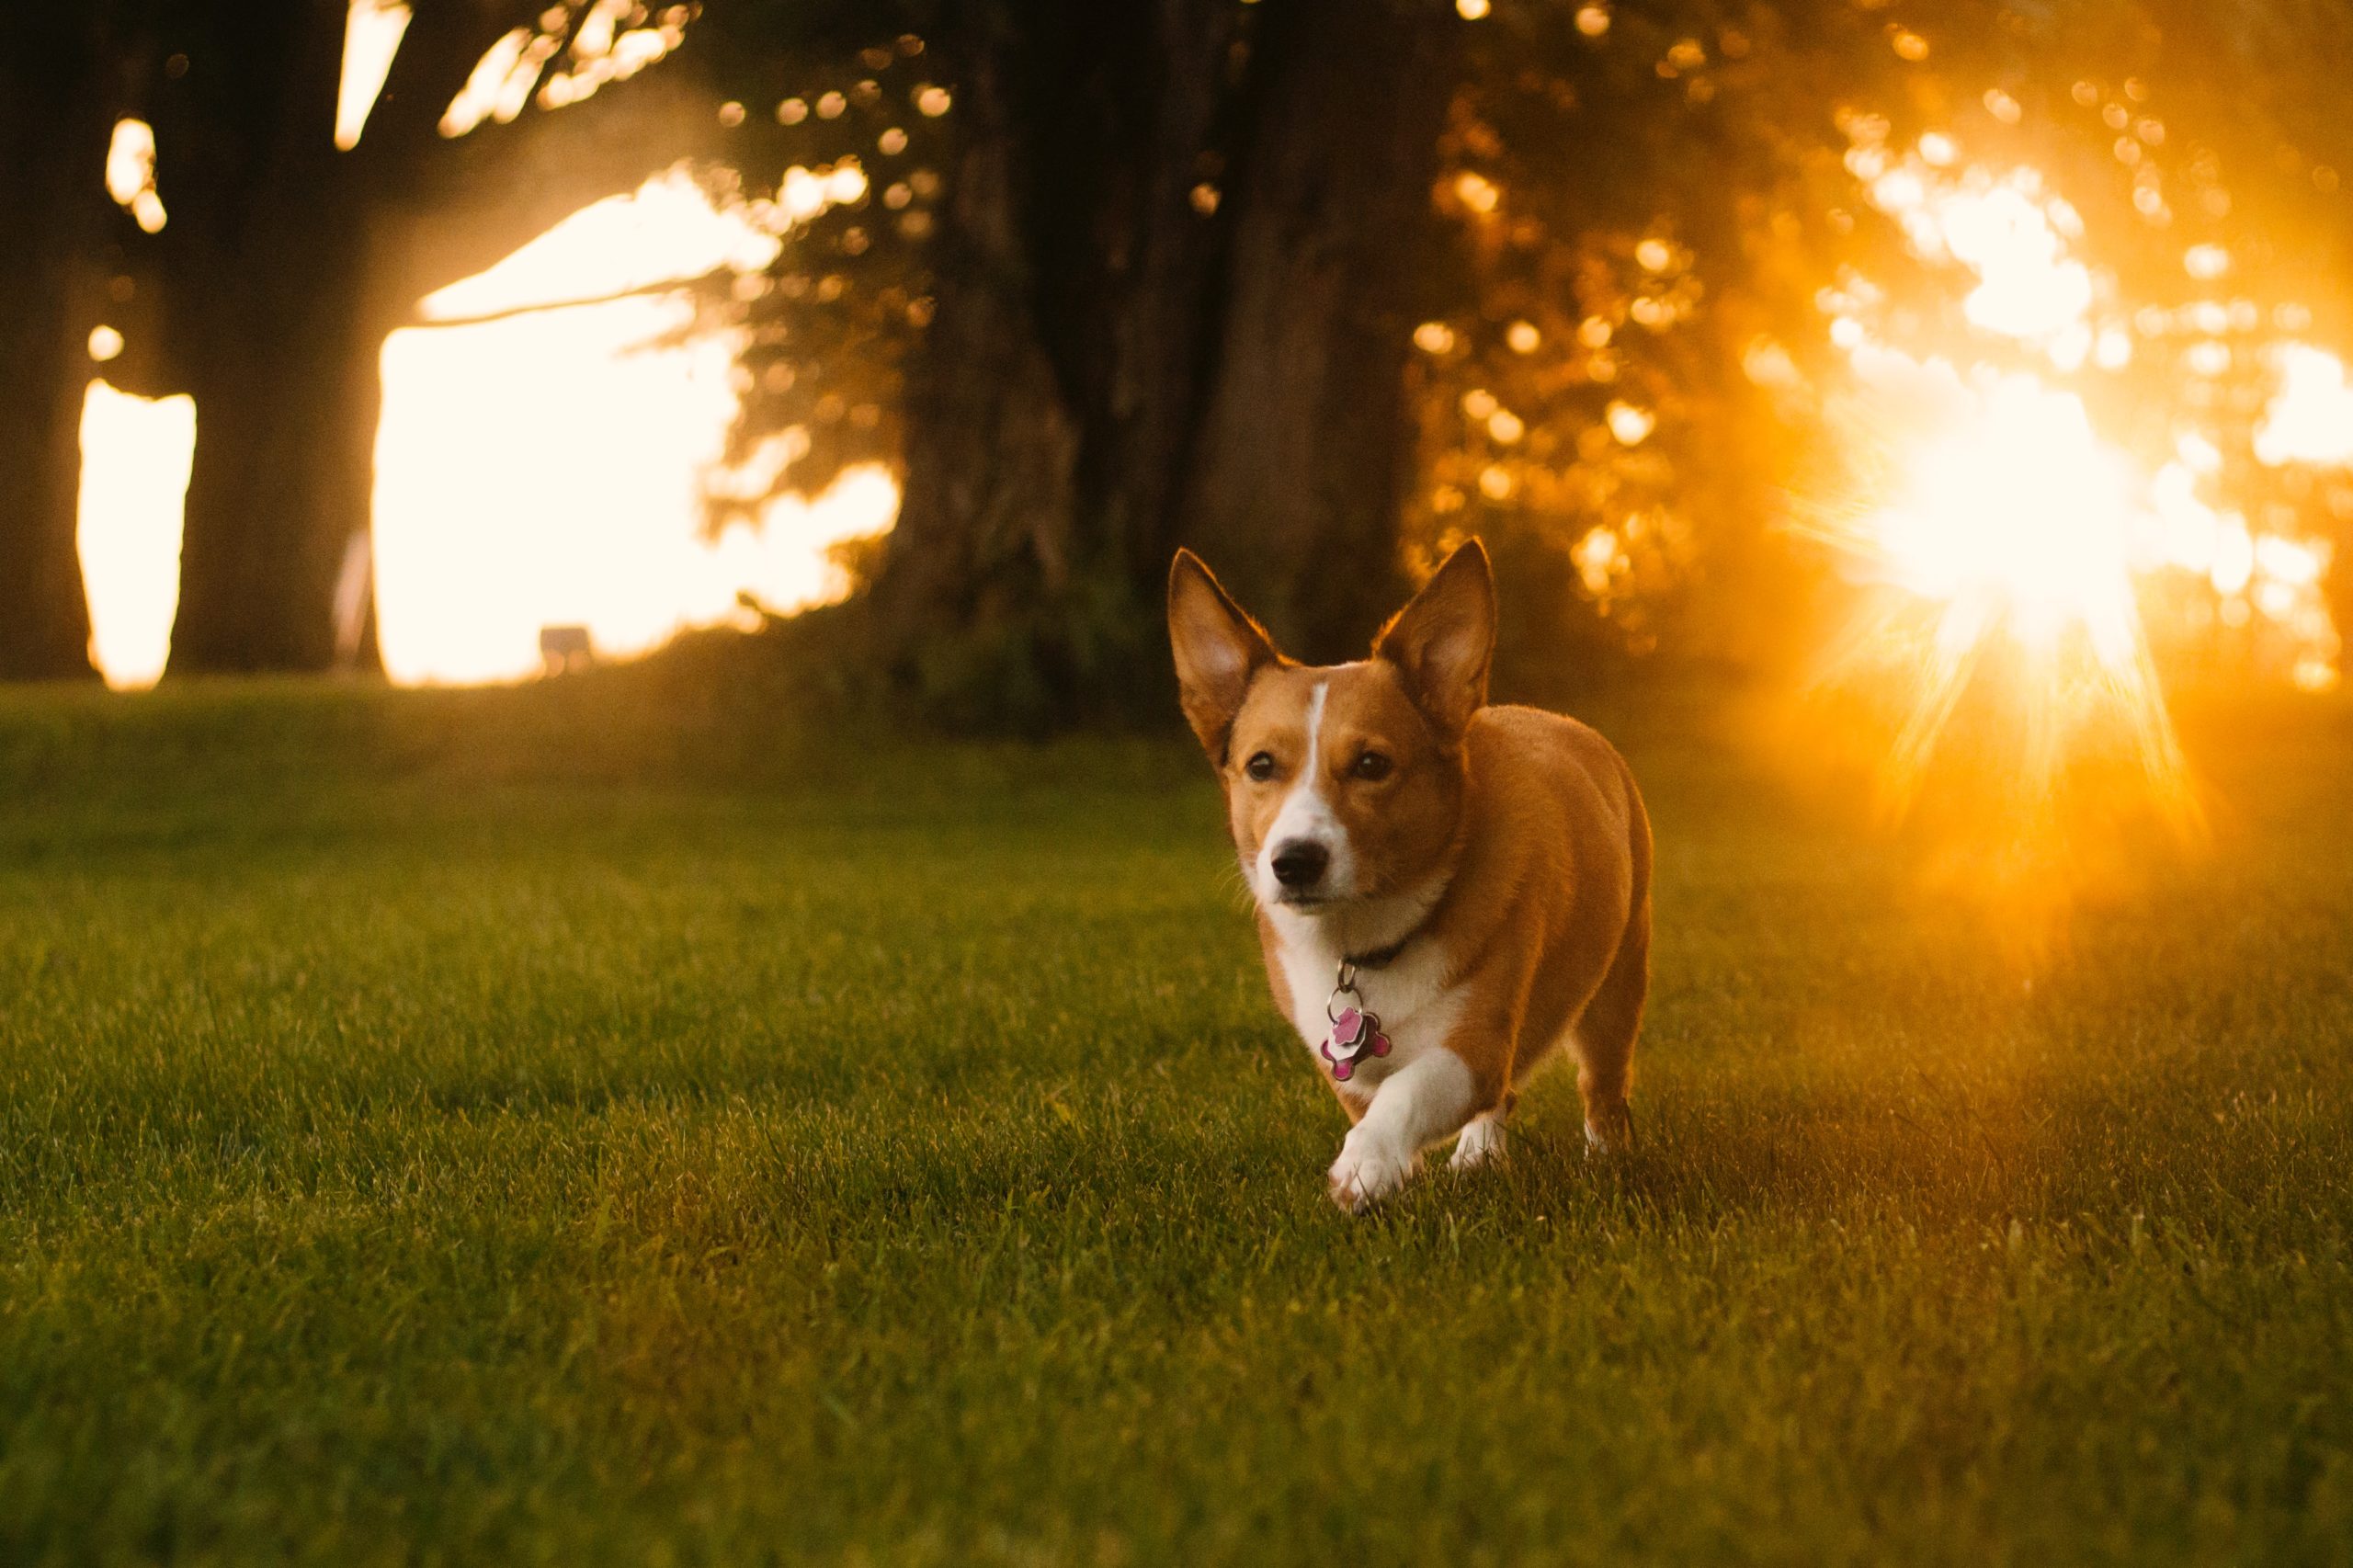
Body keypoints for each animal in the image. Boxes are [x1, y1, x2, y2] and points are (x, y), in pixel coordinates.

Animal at [1162, 537, 1647, 1205]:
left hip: (1616, 986)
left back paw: (1607, 1160)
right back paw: (1479, 1154)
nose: (1294, 862)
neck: (1366, 942)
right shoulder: (1343, 1063)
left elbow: (1407, 1091)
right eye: (1260, 765)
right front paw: (1395, 1167)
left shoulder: (1474, 1047)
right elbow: (1379, 1095)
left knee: (1601, 1086)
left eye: (1372, 764)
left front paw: (1365, 1165)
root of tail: (1562, 721)